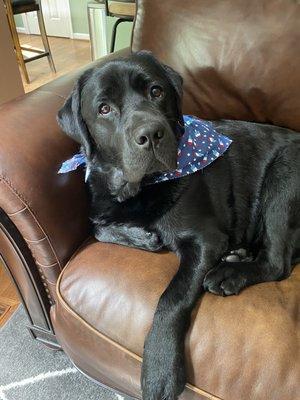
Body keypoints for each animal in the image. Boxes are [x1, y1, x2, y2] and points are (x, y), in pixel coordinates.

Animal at [58, 51, 300, 398]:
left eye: (156, 91)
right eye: (104, 108)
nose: (150, 134)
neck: (140, 190)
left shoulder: (205, 240)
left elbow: (171, 298)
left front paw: (160, 367)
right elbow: (98, 227)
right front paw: (141, 237)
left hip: (284, 173)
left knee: (278, 262)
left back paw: (230, 273)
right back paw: (238, 255)